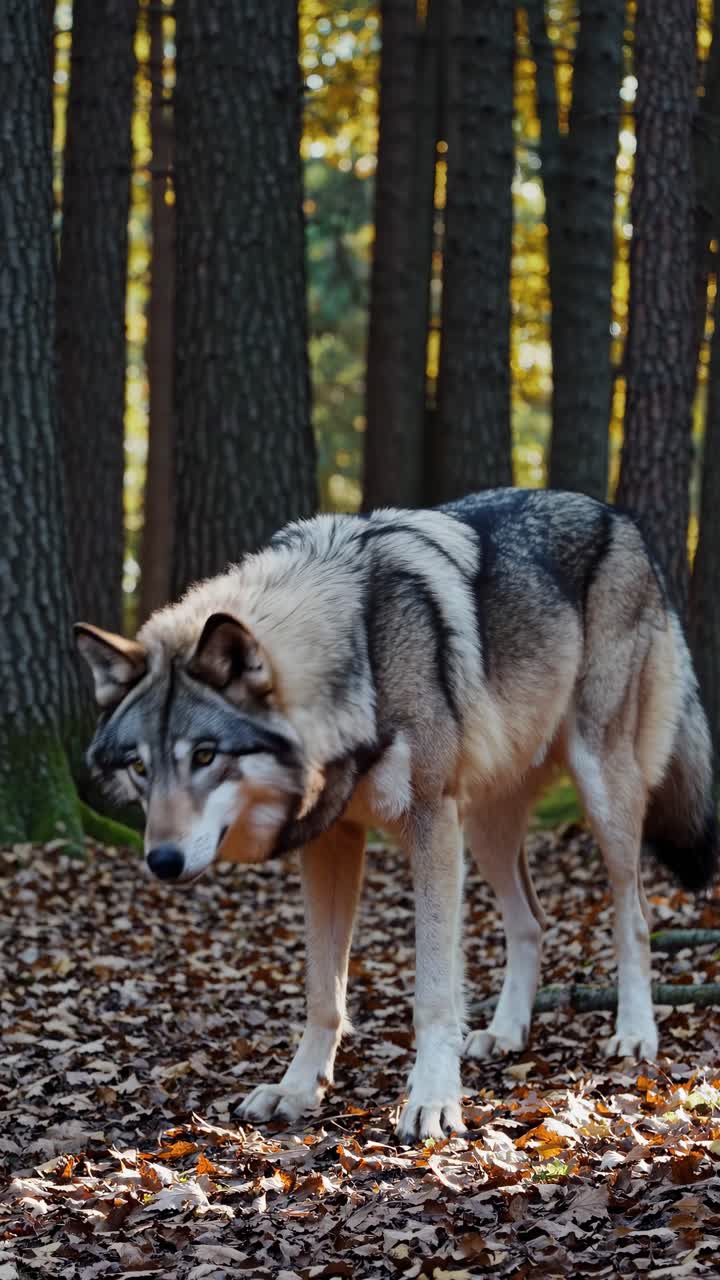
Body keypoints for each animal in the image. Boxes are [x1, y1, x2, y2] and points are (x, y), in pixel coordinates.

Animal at [76, 489, 717, 1142]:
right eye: (140, 766)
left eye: (205, 756)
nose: (162, 860)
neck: (362, 661)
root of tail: (616, 516)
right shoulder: (332, 841)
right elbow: (323, 992)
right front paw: (296, 1089)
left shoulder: (431, 823)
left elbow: (433, 991)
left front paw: (432, 1100)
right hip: (485, 830)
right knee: (532, 921)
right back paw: (505, 1032)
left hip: (600, 791)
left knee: (635, 916)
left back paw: (634, 1033)